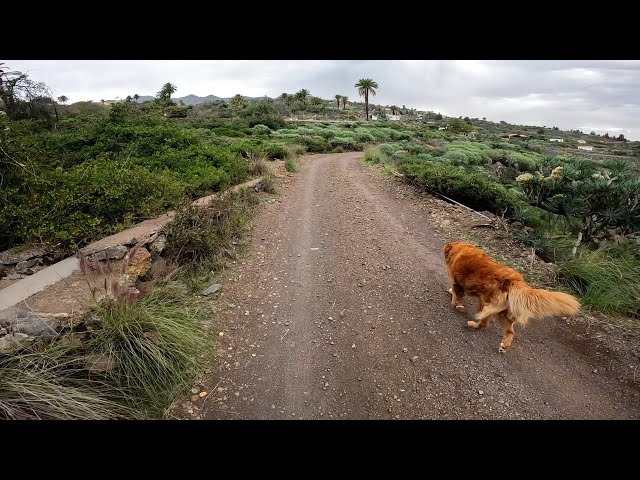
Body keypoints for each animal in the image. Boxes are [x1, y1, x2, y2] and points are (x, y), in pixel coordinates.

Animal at [444, 242, 580, 350]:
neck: (460, 250)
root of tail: (515, 281)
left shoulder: (455, 281)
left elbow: (456, 296)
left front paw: (457, 304)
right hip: (505, 312)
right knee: (510, 332)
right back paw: (504, 345)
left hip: (489, 304)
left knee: (484, 323)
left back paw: (472, 324)